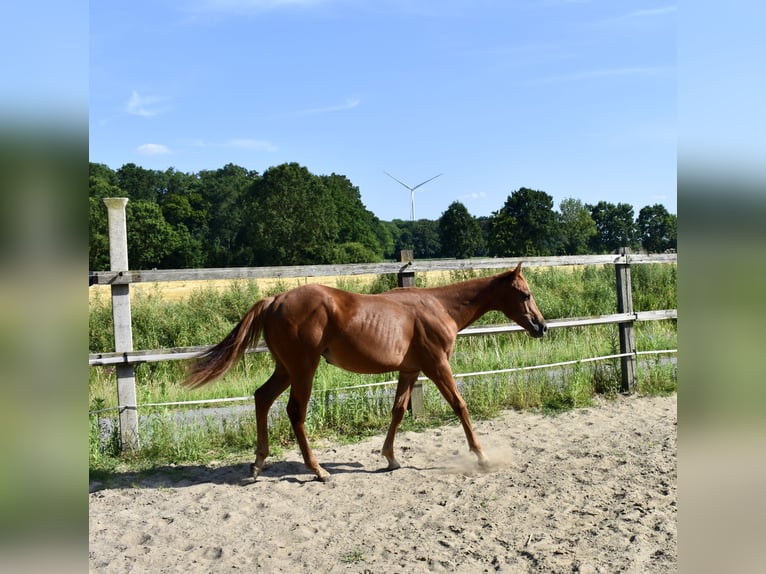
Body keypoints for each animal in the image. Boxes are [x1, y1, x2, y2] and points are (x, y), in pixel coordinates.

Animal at [183, 261, 547, 482]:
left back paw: (258, 464)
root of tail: (274, 300)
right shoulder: (436, 365)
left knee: (262, 398)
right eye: (525, 294)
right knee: (295, 412)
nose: (541, 326)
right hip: (303, 369)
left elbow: (398, 410)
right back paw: (317, 470)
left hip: (285, 369)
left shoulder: (410, 371)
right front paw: (481, 457)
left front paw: (390, 458)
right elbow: (460, 406)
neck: (439, 307)